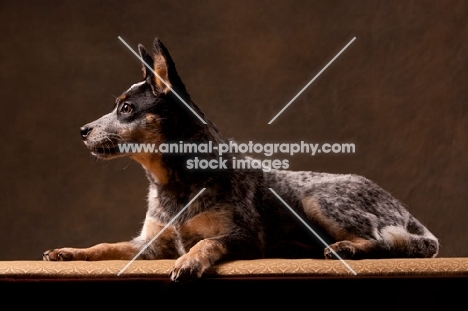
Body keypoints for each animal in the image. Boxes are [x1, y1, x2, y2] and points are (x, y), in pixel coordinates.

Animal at [43, 37, 438, 282]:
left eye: (126, 108)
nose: (82, 130)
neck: (174, 186)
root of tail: (405, 210)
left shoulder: (244, 238)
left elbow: (205, 243)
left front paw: (189, 261)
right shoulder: (150, 245)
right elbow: (105, 246)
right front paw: (67, 252)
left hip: (317, 198)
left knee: (383, 242)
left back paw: (345, 247)